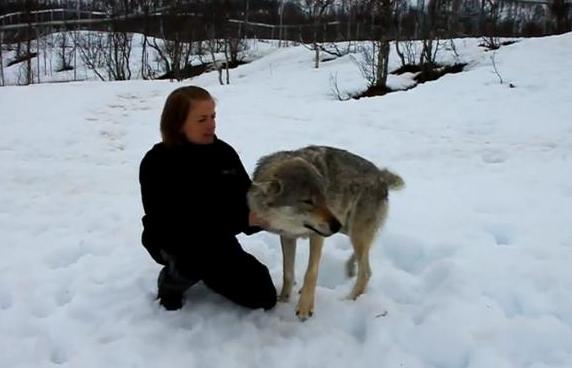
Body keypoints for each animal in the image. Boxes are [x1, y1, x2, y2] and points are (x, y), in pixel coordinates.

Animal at [248, 146, 404, 320]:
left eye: (324, 196)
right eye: (308, 201)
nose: (335, 225)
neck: (292, 225)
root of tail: (381, 175)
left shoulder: (318, 236)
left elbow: (311, 273)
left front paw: (304, 308)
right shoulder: (287, 236)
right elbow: (287, 272)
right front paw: (283, 300)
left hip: (354, 231)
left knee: (366, 272)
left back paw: (348, 300)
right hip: (349, 230)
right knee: (366, 253)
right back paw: (350, 266)